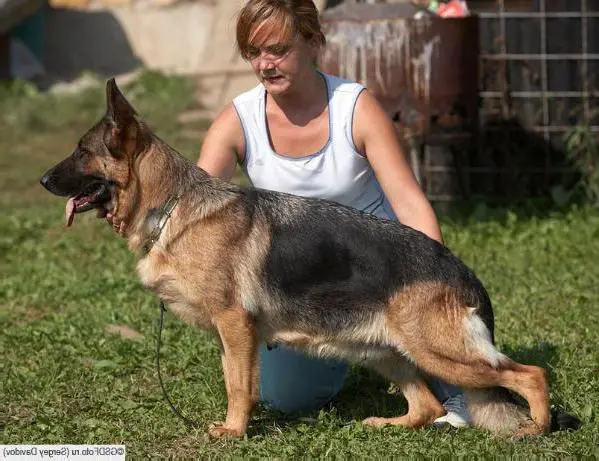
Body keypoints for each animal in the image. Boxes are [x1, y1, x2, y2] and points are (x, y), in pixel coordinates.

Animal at [42, 79, 556, 438]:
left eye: (82, 151)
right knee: (426, 407)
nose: (44, 179)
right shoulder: (233, 335)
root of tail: (463, 274)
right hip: (389, 353)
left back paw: (537, 429)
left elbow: (239, 386)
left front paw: (234, 432)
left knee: (531, 375)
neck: (171, 206)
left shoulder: (235, 326)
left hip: (440, 353)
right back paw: (388, 425)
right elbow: (234, 381)